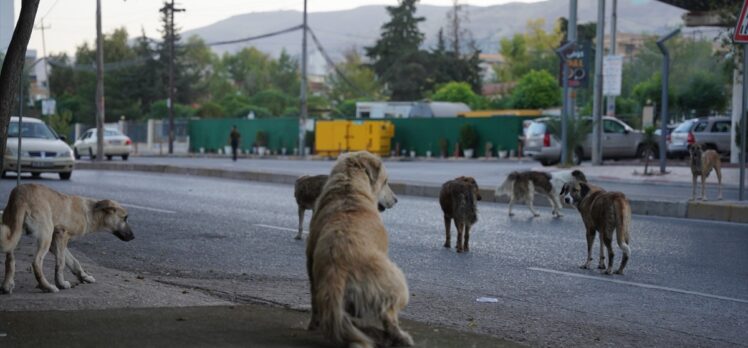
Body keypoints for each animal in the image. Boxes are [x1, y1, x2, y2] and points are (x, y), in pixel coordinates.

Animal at [306, 152, 414, 348]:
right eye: (386, 181)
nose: (396, 200)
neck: (349, 189)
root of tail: (337, 270)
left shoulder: (309, 255)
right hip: (398, 281)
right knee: (388, 316)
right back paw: (401, 337)